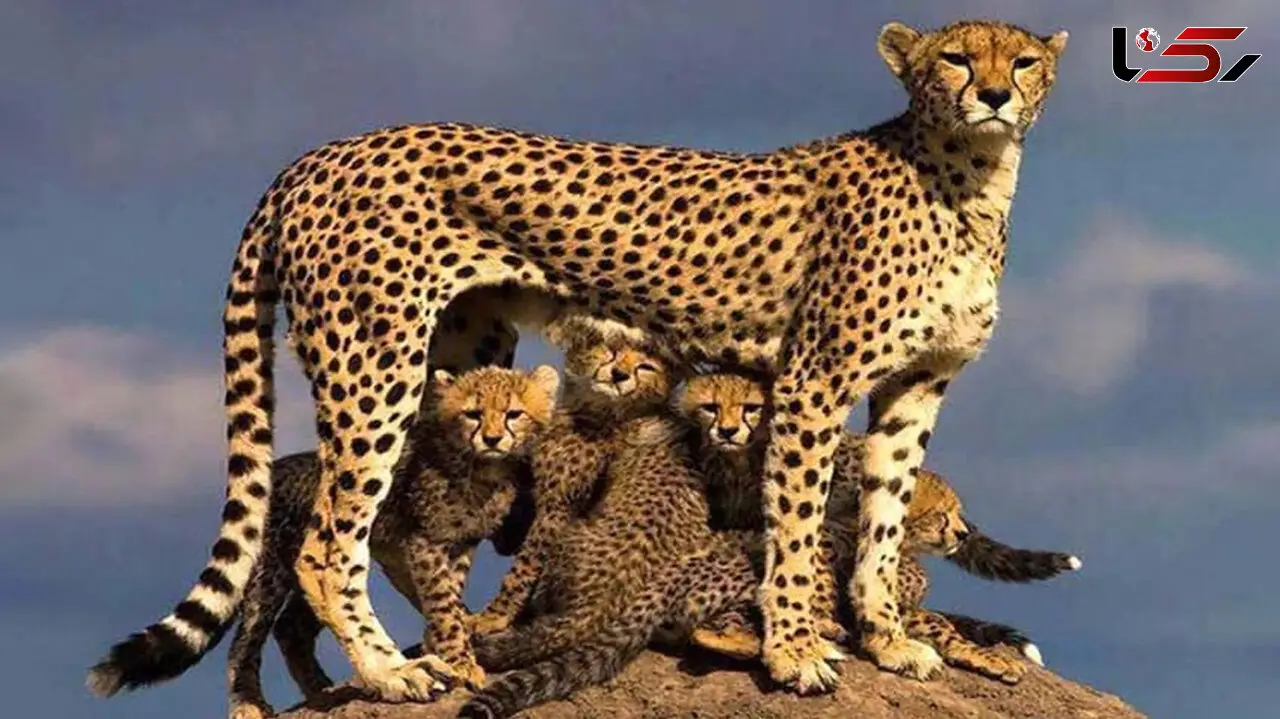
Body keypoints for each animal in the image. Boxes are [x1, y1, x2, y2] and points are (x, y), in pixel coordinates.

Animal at [86, 364, 559, 718]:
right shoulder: (423, 542)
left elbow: (450, 599)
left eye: (514, 414)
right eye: (473, 414)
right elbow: (442, 602)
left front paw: (455, 639)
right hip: (271, 573)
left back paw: (321, 691)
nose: (493, 438)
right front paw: (460, 661)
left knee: (295, 625)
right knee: (247, 640)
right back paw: (250, 703)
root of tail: (275, 469)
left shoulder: (458, 545)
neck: (482, 469)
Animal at [206, 18, 1068, 698]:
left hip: (461, 355)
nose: (995, 95)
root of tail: (319, 155)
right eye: (955, 58)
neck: (971, 179)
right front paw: (794, 649)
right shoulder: (813, 378)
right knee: (328, 542)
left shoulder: (916, 385)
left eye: (1023, 61)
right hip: (374, 361)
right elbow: (796, 520)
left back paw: (460, 645)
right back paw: (392, 670)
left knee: (404, 524)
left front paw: (888, 637)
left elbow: (886, 519)